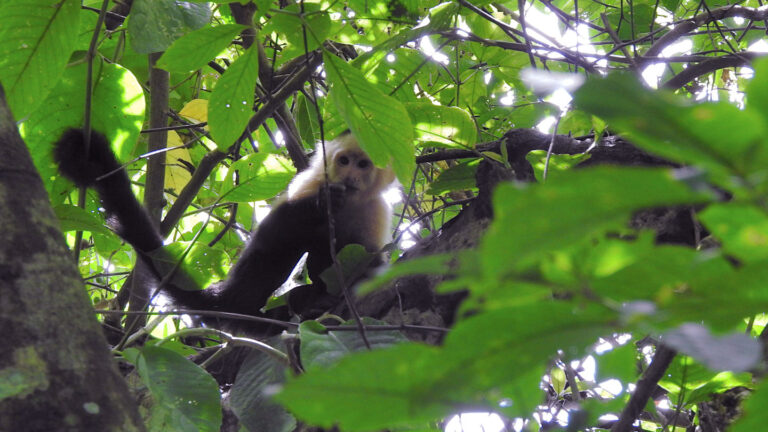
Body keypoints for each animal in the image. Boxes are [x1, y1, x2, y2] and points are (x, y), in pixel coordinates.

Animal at [55, 128, 396, 330]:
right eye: (344, 160)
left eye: (362, 165)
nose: (349, 176)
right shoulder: (309, 182)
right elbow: (274, 236)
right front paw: (321, 204)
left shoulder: (377, 211)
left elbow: (371, 260)